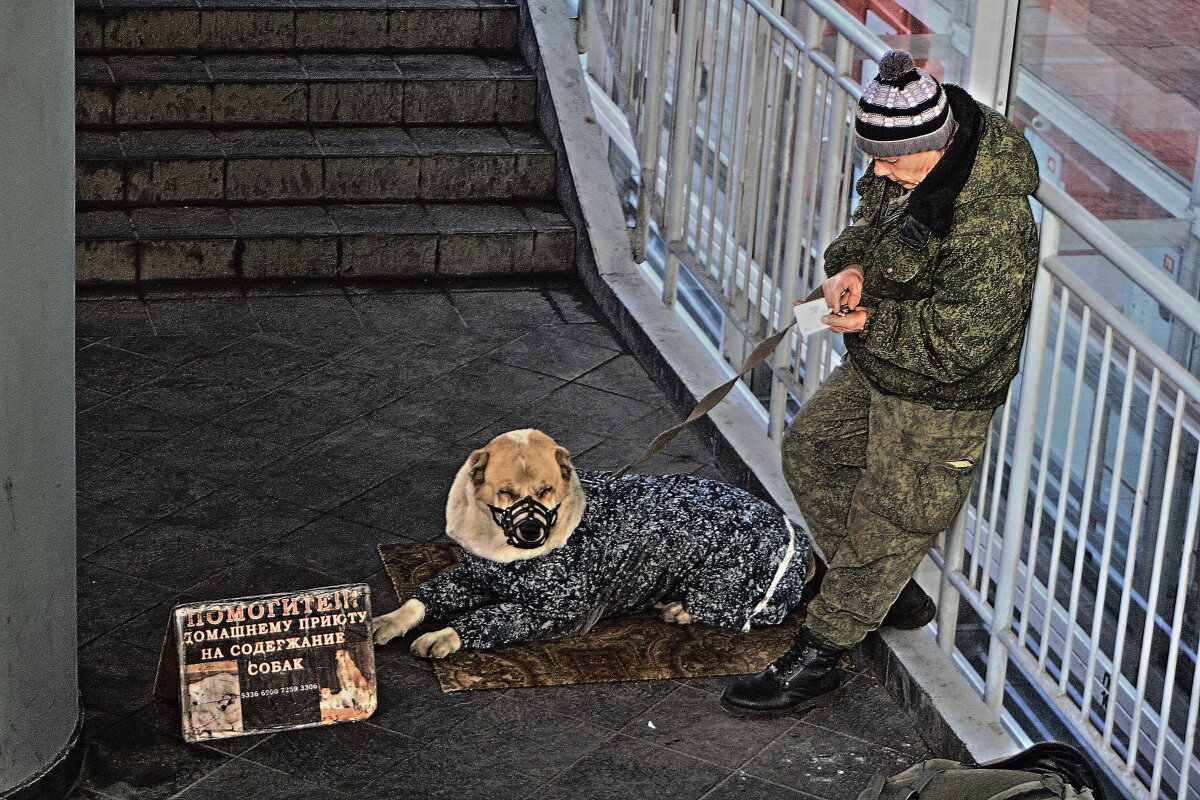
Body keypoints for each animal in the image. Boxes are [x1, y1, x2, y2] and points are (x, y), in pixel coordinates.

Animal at [369, 431, 811, 657]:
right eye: (507, 492)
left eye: (546, 489)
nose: (531, 532)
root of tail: (798, 536)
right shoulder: (474, 575)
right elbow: (426, 595)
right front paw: (390, 620)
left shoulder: (556, 612)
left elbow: (492, 615)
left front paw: (446, 635)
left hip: (724, 588)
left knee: (749, 616)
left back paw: (681, 610)